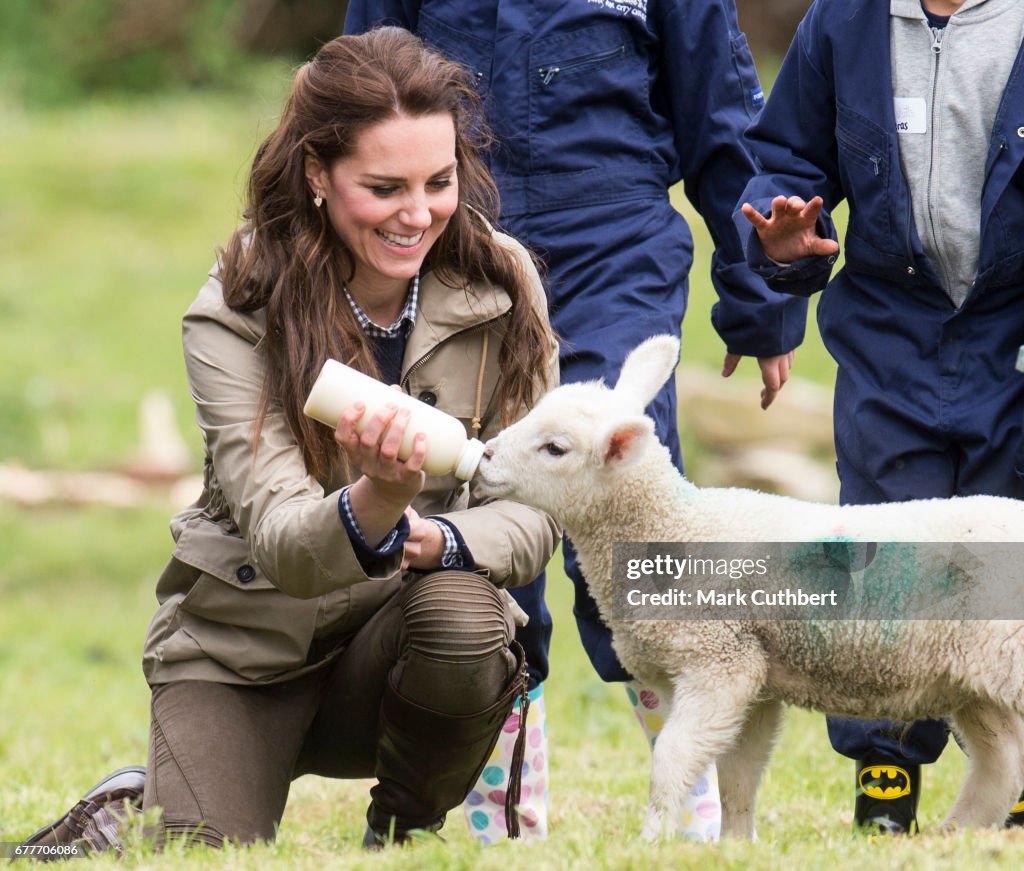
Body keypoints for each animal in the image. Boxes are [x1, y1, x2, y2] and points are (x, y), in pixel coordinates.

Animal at [475, 333, 1024, 839]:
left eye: (555, 448)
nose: (482, 457)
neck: (675, 530)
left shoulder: (719, 660)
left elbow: (672, 758)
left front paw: (652, 839)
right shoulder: (755, 675)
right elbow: (738, 772)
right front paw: (736, 843)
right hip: (977, 686)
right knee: (1001, 765)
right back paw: (958, 834)